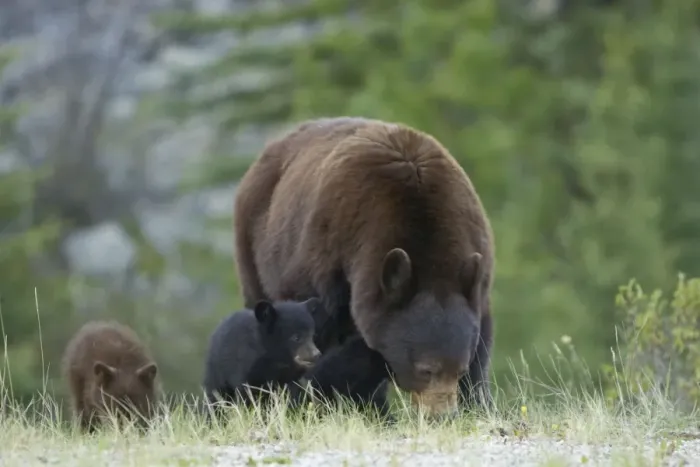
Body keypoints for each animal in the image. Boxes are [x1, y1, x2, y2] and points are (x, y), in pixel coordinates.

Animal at [232, 116, 495, 419]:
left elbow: (481, 344)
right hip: (255, 247)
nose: (441, 415)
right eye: (425, 370)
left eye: (459, 369)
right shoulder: (327, 257)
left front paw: (478, 404)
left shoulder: (475, 266)